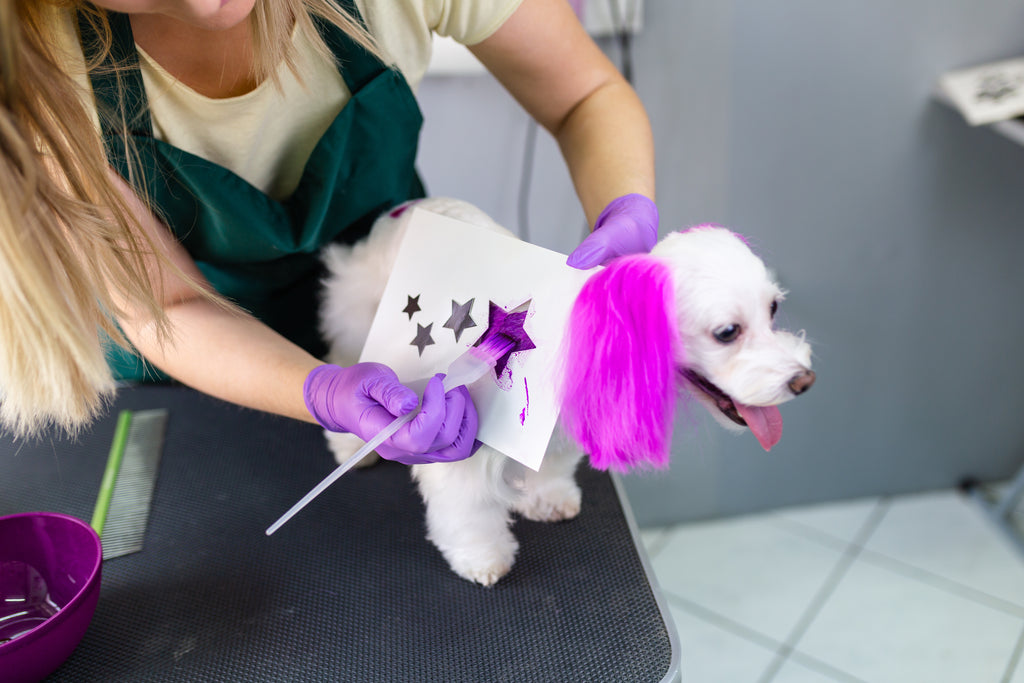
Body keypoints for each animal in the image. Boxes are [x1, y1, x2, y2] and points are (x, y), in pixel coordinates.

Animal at [319, 197, 815, 589]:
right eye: (727, 332)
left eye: (773, 309)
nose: (804, 380)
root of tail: (406, 208)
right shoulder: (464, 446)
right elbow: (468, 509)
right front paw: (482, 557)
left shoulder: (555, 435)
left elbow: (553, 466)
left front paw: (548, 498)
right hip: (360, 315)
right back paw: (349, 439)